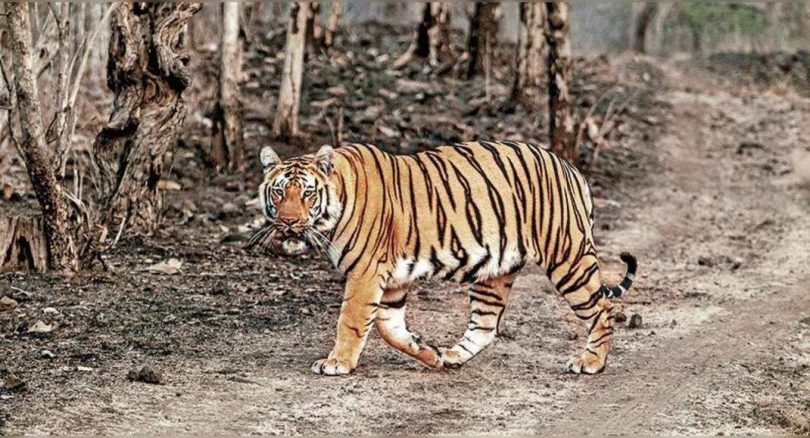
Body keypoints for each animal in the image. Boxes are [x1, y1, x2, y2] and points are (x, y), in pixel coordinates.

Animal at [253, 141, 636, 376]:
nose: (288, 222)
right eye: (279, 192)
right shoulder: (392, 281)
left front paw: (337, 362)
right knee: (484, 327)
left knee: (603, 309)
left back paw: (591, 362)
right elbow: (389, 327)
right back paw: (451, 356)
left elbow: (351, 321)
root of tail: (571, 168)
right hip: (494, 271)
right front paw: (428, 352)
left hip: (567, 258)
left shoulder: (365, 273)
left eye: (307, 193)